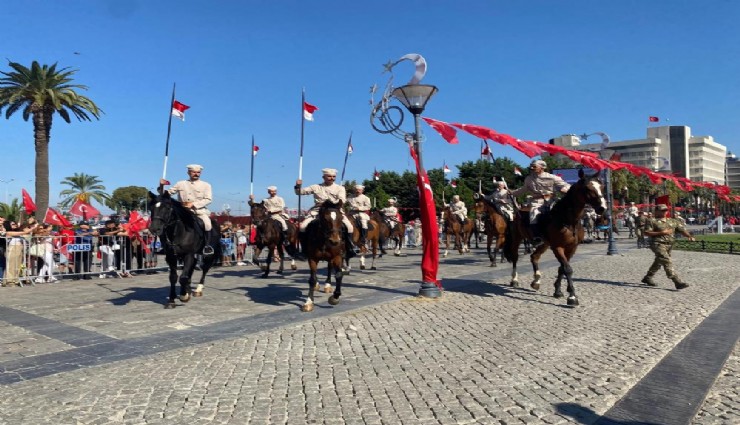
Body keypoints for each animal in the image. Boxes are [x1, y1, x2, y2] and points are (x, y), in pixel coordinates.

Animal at [502, 169, 608, 304]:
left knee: (534, 257)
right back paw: (514, 280)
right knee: (515, 257)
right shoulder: (558, 247)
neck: (568, 220)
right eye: (587, 188)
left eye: (602, 187)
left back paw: (536, 281)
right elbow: (567, 268)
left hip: (544, 243)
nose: (602, 208)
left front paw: (558, 291)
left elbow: (562, 268)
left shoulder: (572, 247)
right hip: (517, 238)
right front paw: (572, 296)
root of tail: (517, 211)